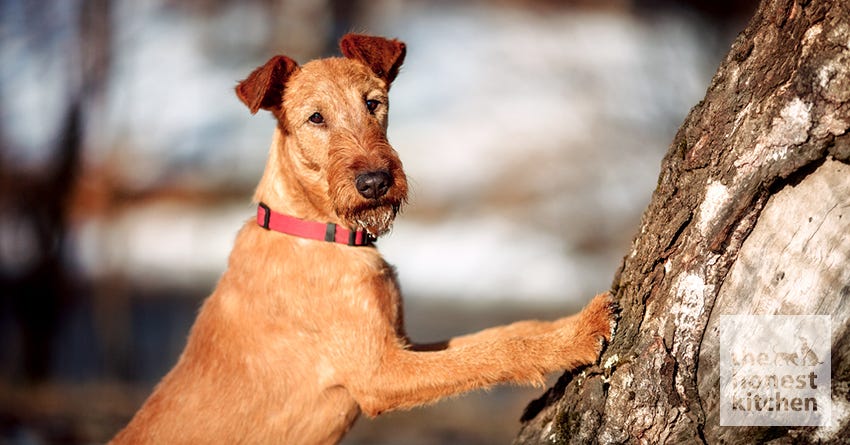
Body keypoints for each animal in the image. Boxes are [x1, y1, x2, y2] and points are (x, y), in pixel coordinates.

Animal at [111, 33, 616, 444]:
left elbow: (499, 333)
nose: (375, 182)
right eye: (315, 118)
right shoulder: (380, 372)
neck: (318, 229)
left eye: (373, 102)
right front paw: (578, 335)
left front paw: (563, 322)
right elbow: (491, 353)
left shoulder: (397, 344)